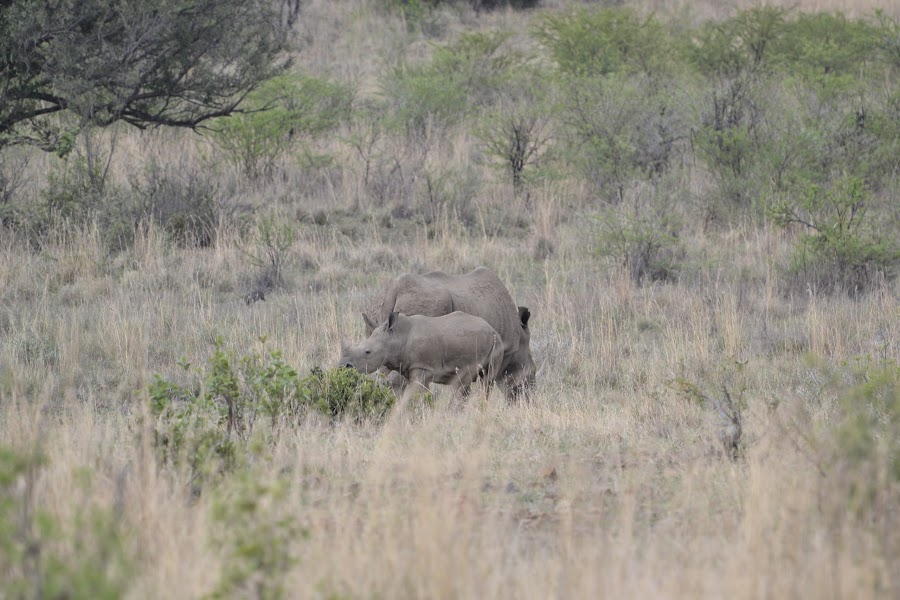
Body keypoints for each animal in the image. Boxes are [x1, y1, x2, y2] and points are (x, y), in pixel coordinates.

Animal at [340, 310, 506, 404]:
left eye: (367, 352)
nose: (344, 366)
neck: (397, 336)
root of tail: (491, 327)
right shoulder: (410, 368)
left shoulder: (423, 367)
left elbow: (412, 394)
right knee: (463, 384)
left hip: (497, 343)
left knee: (487, 381)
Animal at [364, 264, 536, 396]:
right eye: (531, 374)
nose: (528, 397)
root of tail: (393, 290)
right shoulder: (501, 351)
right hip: (423, 303)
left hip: (377, 307)